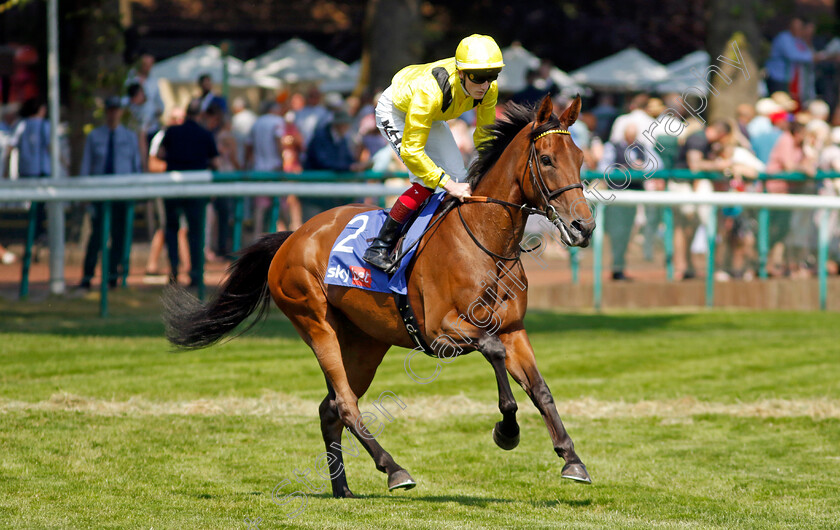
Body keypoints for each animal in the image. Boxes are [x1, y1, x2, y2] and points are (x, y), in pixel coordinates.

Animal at [162, 94, 596, 496]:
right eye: (545, 159)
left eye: (579, 158)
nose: (584, 226)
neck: (484, 240)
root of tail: (294, 236)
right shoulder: (441, 331)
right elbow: (493, 352)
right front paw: (507, 430)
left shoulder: (513, 329)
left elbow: (540, 388)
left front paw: (571, 458)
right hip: (315, 322)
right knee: (345, 404)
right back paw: (394, 469)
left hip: (365, 343)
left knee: (329, 409)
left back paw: (342, 488)